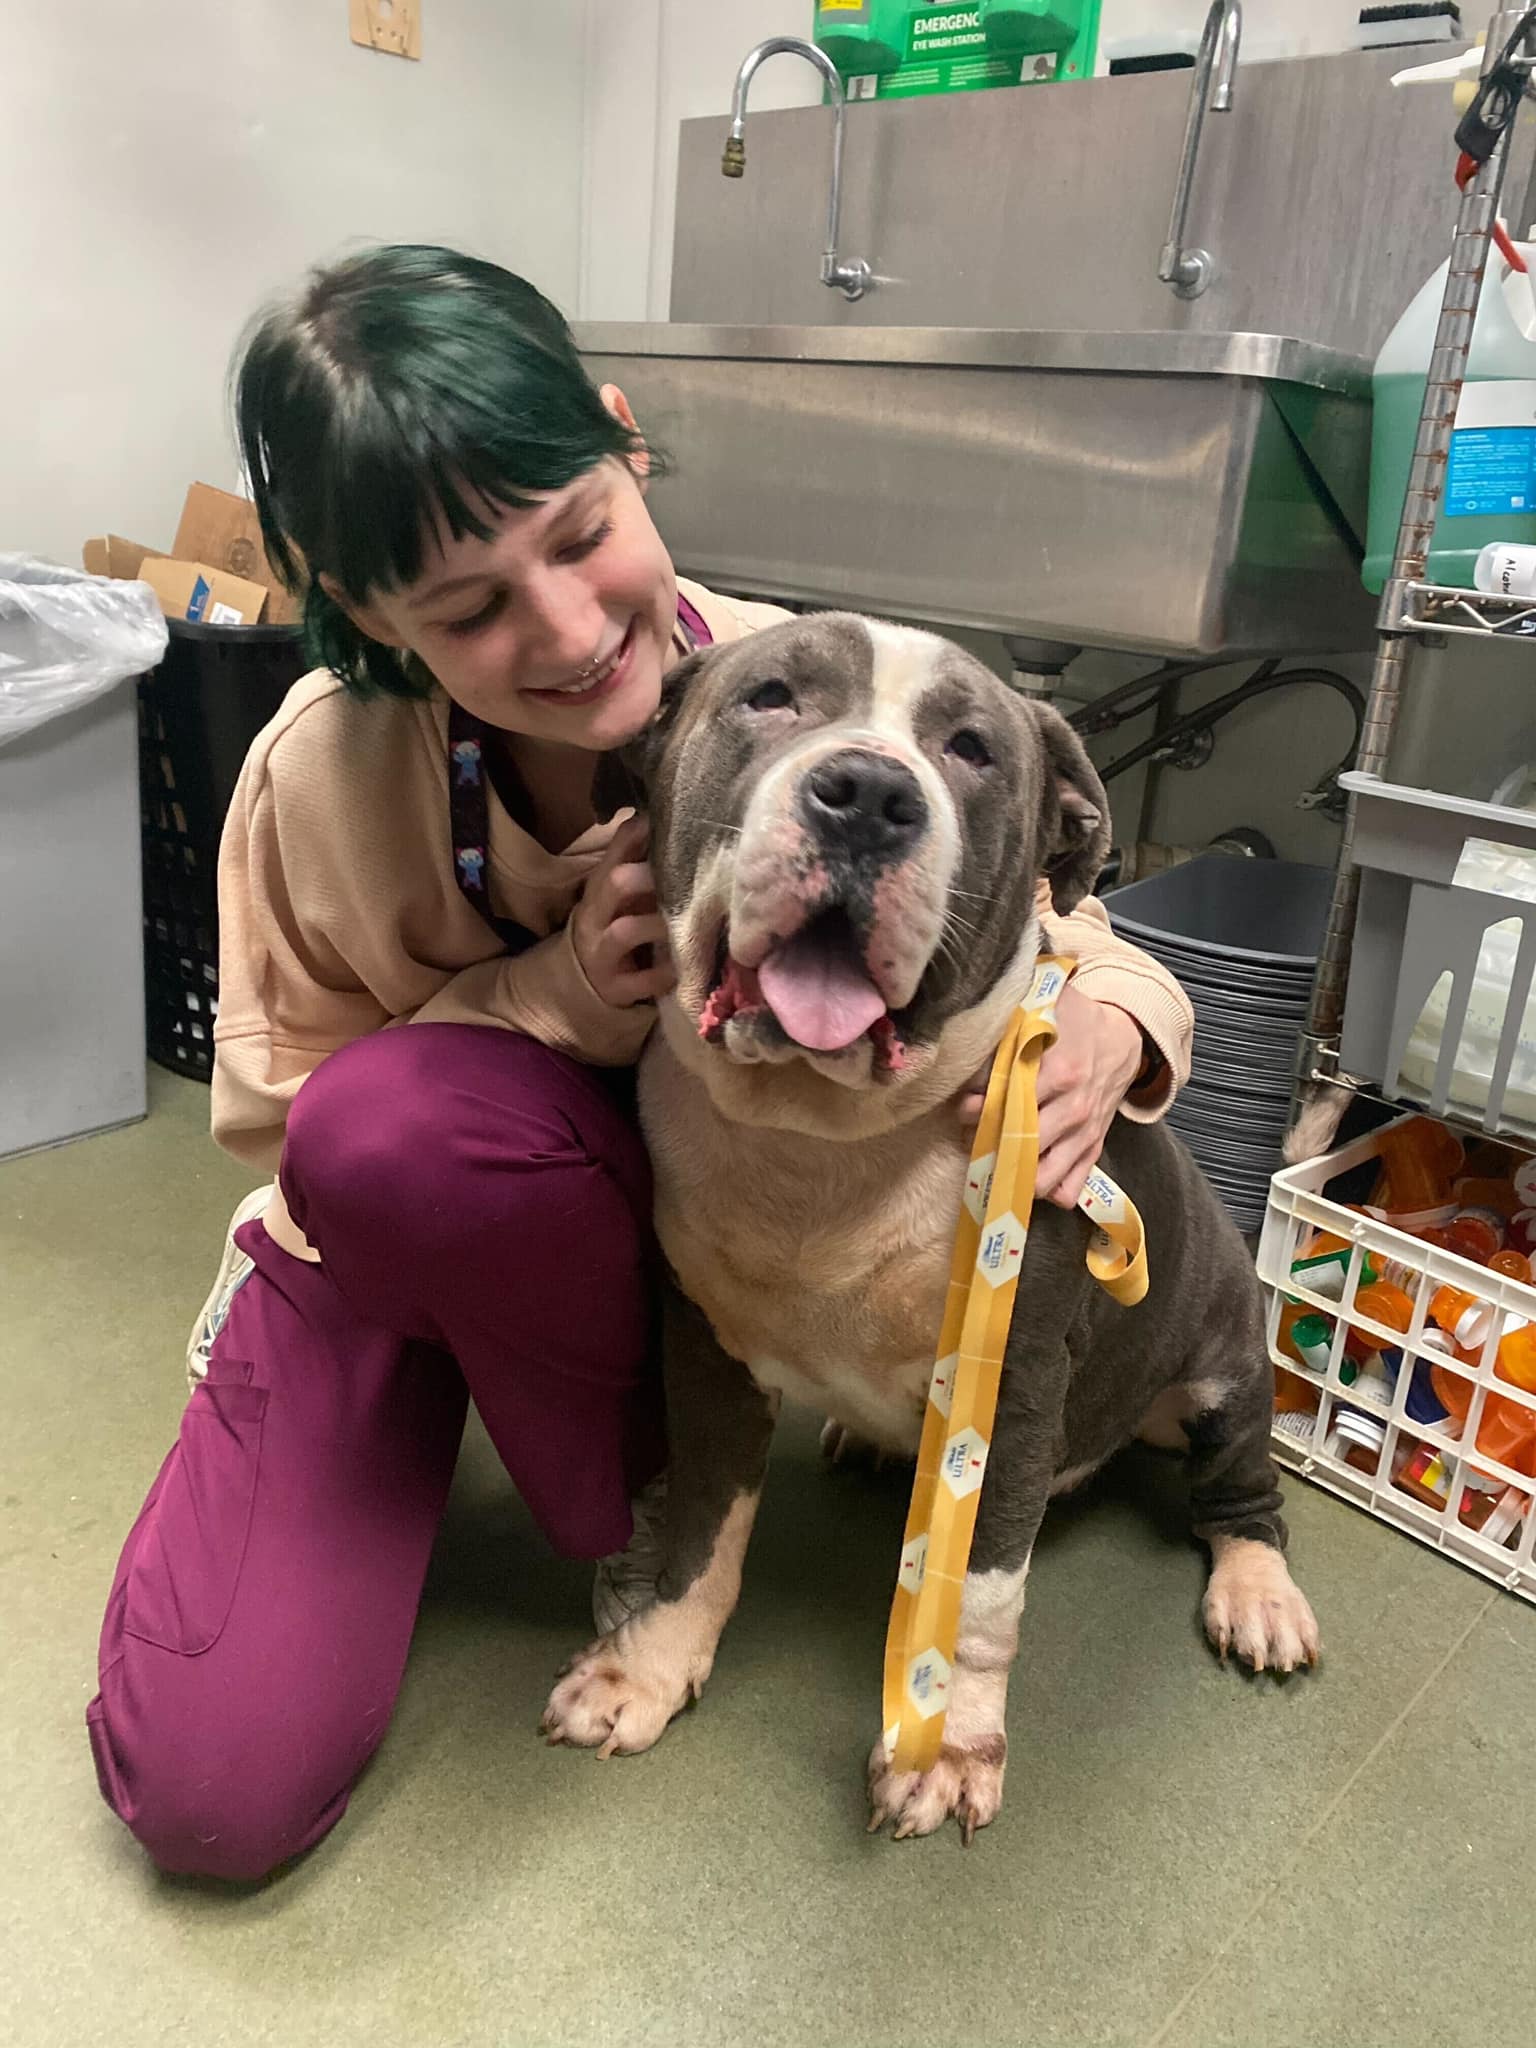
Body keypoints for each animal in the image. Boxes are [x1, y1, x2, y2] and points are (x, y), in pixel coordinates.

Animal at [544, 606, 1327, 1843]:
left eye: (973, 749)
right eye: (771, 695)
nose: (867, 793)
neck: (821, 1133)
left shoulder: (1009, 1387)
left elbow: (978, 1602)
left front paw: (949, 1743)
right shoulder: (704, 1354)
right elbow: (699, 1536)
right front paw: (646, 1668)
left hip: (1225, 1364)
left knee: (1245, 1493)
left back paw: (1258, 1592)